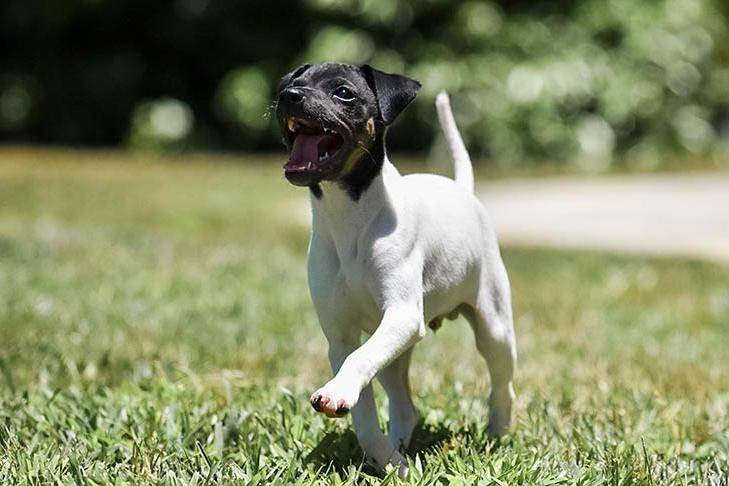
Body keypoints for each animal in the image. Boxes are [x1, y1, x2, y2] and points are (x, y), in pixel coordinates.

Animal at [274, 62, 516, 476]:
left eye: (343, 92)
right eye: (293, 83)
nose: (288, 96)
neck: (350, 219)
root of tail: (463, 190)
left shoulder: (403, 316)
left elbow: (359, 360)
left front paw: (337, 393)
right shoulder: (341, 335)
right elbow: (361, 400)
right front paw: (385, 458)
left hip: (494, 326)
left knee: (503, 382)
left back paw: (497, 434)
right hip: (391, 347)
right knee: (404, 404)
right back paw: (398, 449)